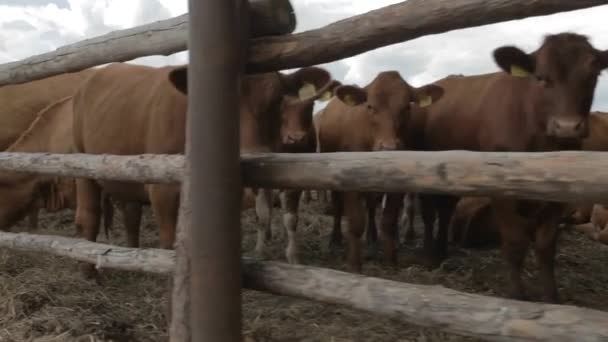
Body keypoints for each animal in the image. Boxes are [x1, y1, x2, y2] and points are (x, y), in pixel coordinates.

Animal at [73, 62, 334, 268]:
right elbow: (169, 246)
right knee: (88, 216)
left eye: (277, 101)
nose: (253, 155)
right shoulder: (162, 192)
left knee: (131, 215)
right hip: (84, 166)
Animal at [318, 71, 442, 272]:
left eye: (406, 107)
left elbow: (389, 221)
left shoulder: (398, 185)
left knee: (370, 206)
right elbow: (355, 222)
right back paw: (335, 239)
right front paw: (354, 264)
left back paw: (372, 237)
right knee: (337, 206)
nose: (388, 148)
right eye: (370, 106)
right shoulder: (350, 180)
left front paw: (391, 261)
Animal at [414, 34, 608, 302]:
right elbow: (515, 242)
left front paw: (551, 297)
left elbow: (546, 245)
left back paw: (442, 250)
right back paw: (430, 255)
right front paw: (517, 296)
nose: (567, 127)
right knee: (429, 212)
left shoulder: (559, 194)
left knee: (445, 209)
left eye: (593, 75)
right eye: (541, 77)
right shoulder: (499, 189)